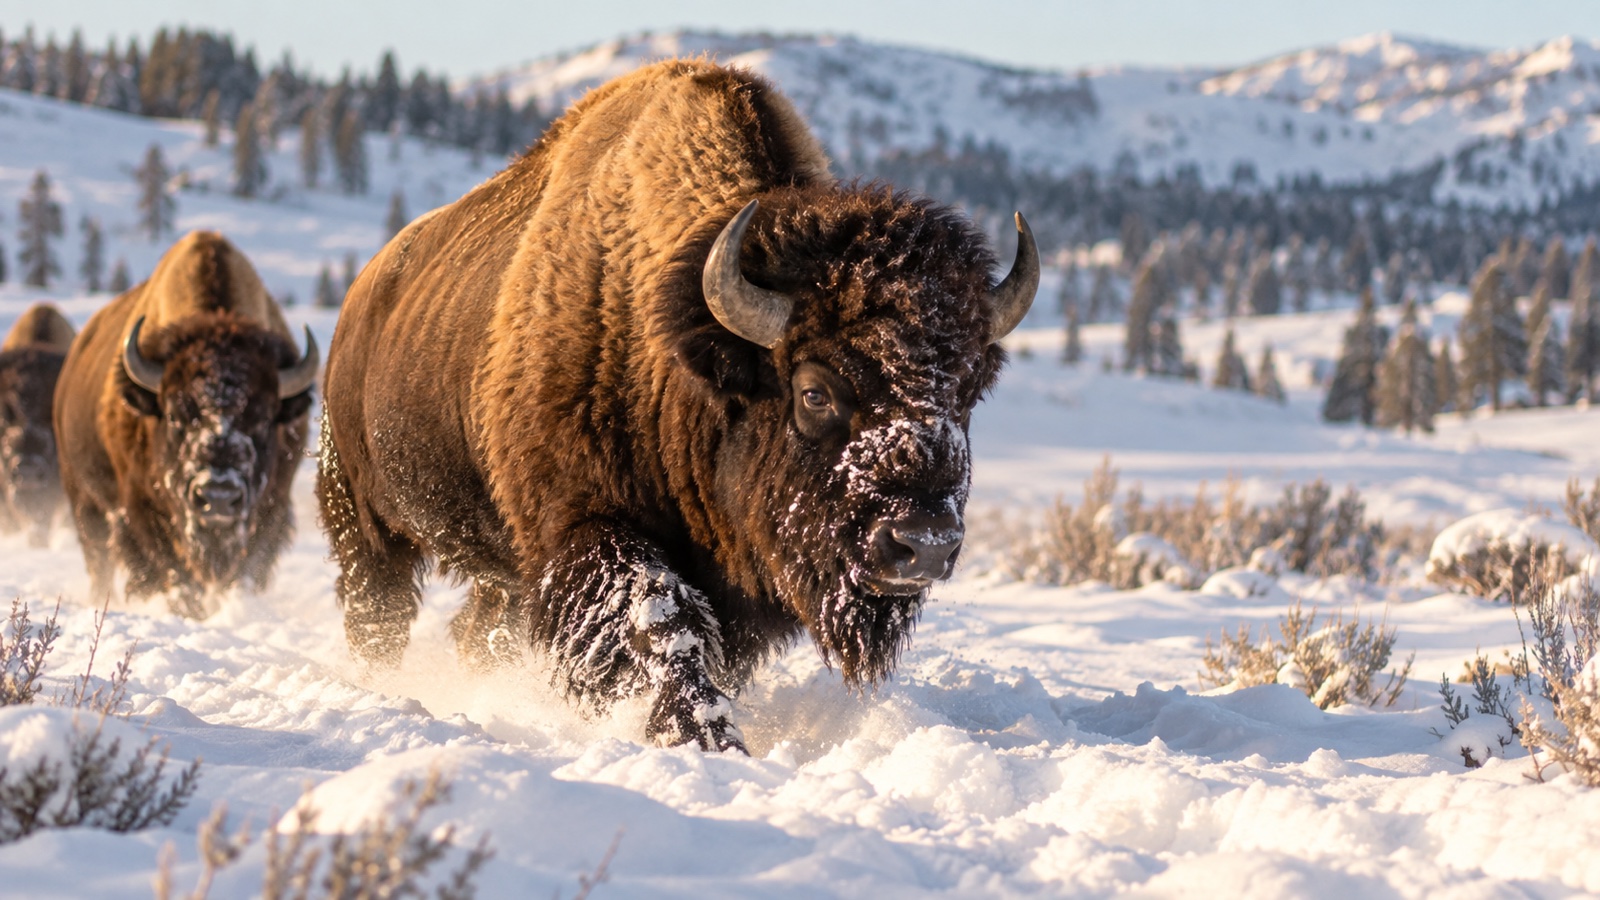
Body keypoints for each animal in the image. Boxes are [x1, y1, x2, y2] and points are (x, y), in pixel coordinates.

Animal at [55, 231, 318, 616]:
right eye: (175, 414)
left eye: (264, 419)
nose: (218, 498)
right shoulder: (138, 507)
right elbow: (170, 570)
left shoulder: (273, 504)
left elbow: (246, 567)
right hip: (83, 498)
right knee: (99, 559)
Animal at [318, 60, 1036, 750]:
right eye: (813, 391)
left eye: (968, 391)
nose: (925, 544)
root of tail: (365, 290)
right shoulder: (587, 526)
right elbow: (659, 619)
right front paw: (705, 737)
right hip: (362, 514)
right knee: (378, 611)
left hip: (498, 562)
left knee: (477, 629)